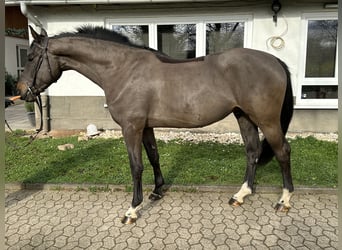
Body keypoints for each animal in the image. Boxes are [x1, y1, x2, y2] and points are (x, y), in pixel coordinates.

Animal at [16, 25, 294, 225]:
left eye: (30, 57)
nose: (21, 91)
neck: (122, 69)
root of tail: (275, 61)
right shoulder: (146, 127)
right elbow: (153, 157)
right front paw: (158, 191)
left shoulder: (131, 128)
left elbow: (136, 166)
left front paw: (132, 209)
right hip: (243, 116)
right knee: (252, 151)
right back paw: (241, 195)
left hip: (267, 120)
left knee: (282, 152)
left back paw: (284, 200)